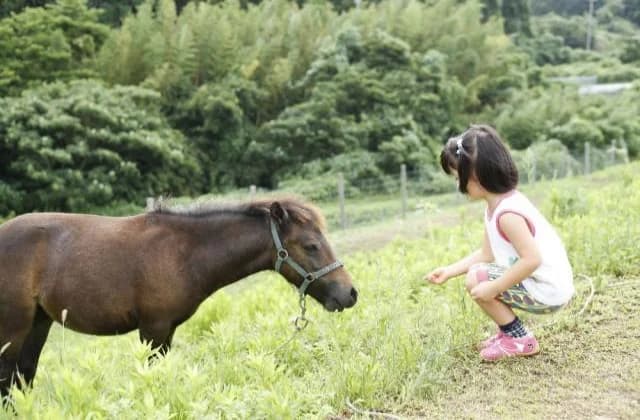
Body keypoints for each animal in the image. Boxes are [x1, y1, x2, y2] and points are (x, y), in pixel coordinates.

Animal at [0, 197, 357, 397]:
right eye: (311, 245)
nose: (349, 294)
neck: (183, 253)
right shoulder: (153, 329)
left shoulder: (167, 331)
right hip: (13, 329)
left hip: (38, 324)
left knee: (23, 377)